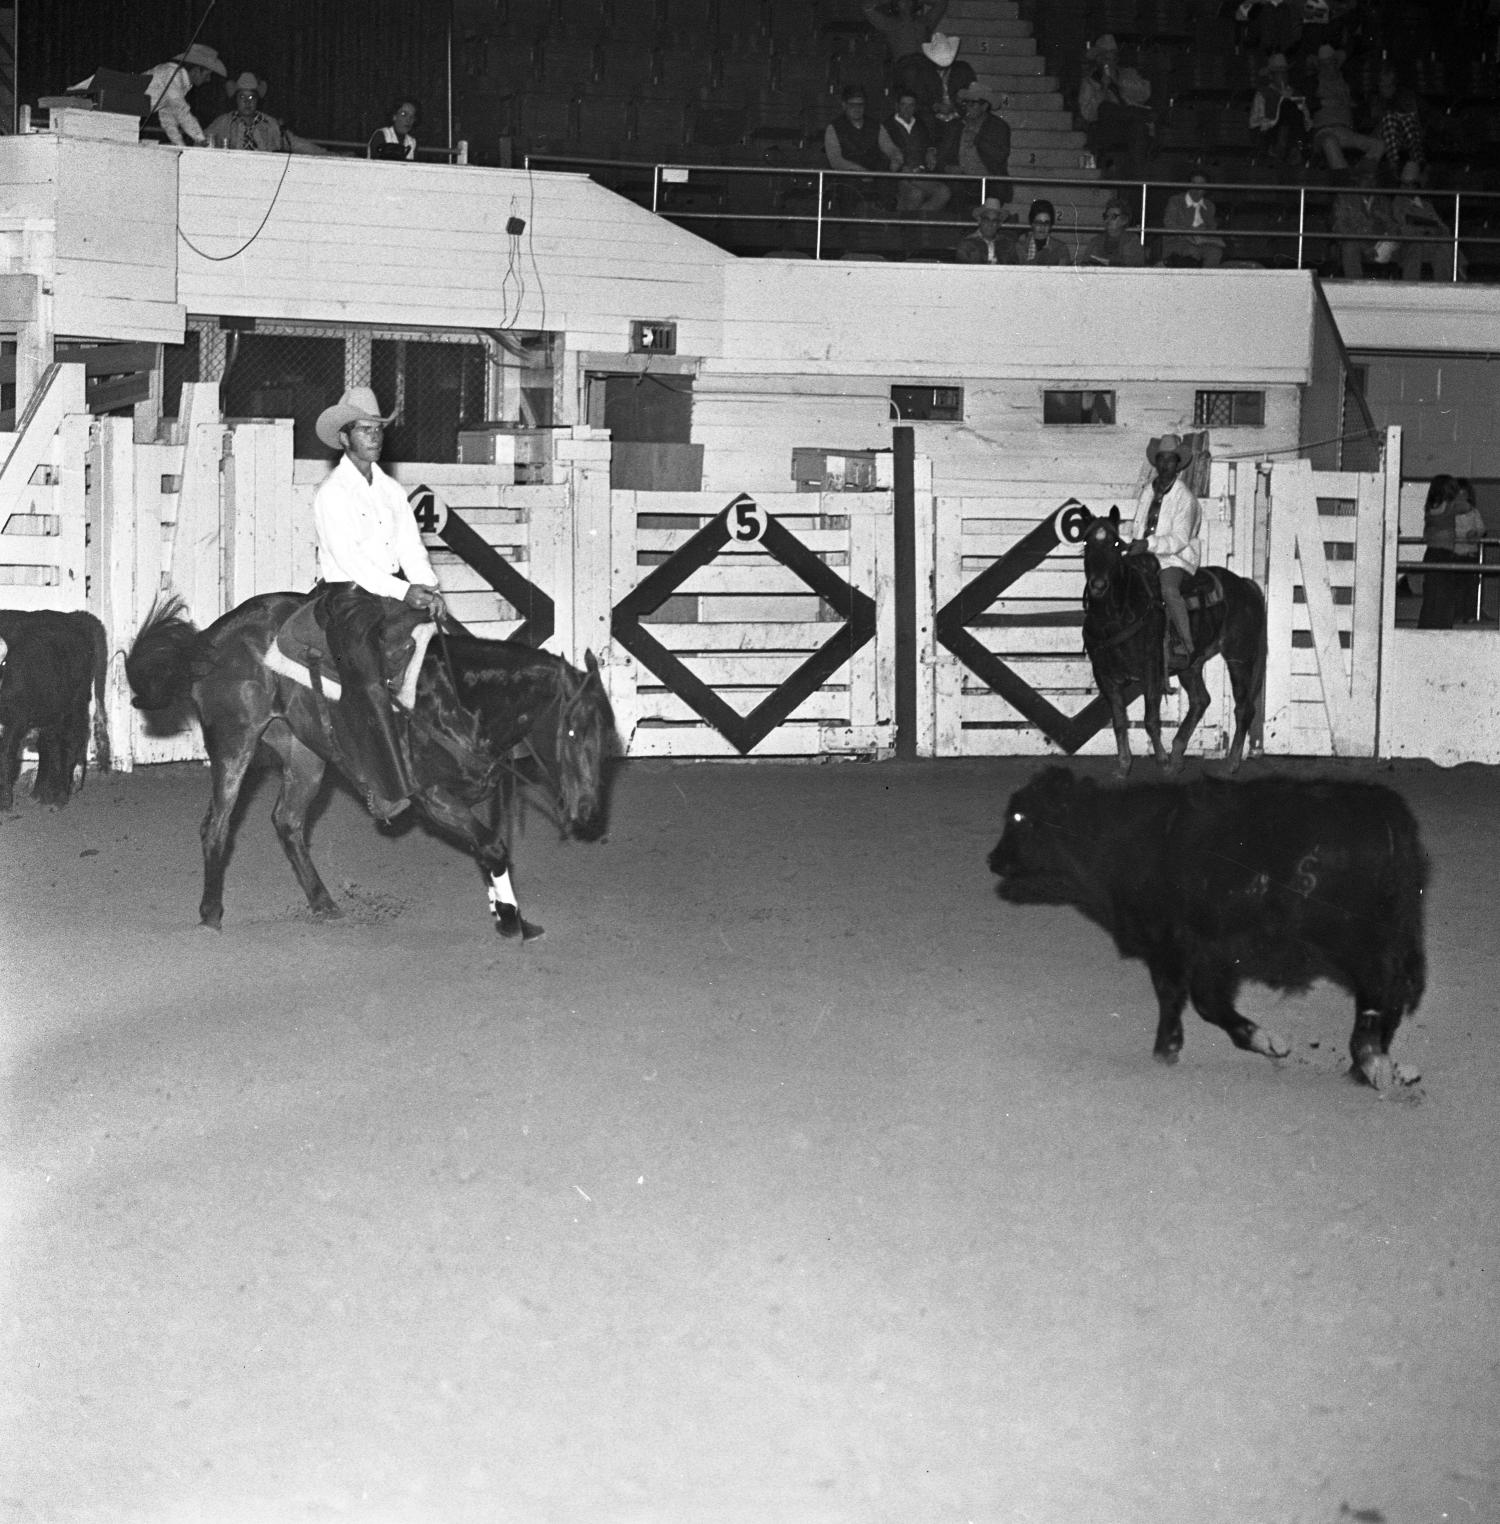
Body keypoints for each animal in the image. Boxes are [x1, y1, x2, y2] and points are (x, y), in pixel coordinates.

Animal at [125, 592, 616, 938]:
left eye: (606, 733)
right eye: (573, 731)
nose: (588, 812)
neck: (460, 698)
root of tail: (212, 636)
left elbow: (489, 849)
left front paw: (505, 911)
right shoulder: (433, 796)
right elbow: (493, 847)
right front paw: (512, 921)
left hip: (305, 753)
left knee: (287, 821)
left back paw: (323, 903)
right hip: (235, 742)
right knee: (217, 826)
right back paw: (211, 915)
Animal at [1080, 506, 1266, 777]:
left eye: (1115, 543)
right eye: (1086, 543)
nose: (1098, 585)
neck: (1116, 617)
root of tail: (1246, 585)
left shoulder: (1151, 671)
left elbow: (1150, 719)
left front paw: (1161, 761)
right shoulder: (1106, 677)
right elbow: (1119, 722)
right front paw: (1124, 766)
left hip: (1239, 658)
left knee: (1243, 709)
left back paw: (1230, 763)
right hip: (1192, 664)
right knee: (1200, 700)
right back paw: (1178, 754)